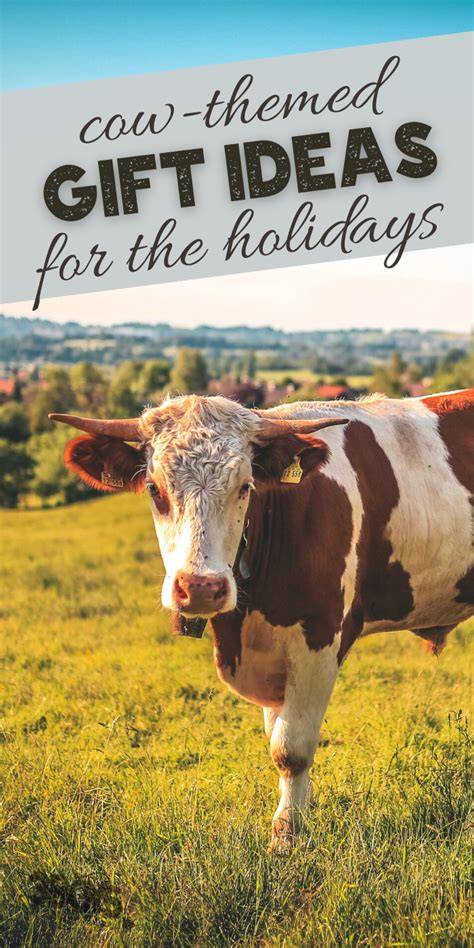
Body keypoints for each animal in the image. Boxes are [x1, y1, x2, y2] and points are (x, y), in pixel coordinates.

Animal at [50, 388, 473, 851]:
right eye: (153, 488)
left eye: (246, 486)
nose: (201, 587)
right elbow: (276, 737)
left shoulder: (320, 638)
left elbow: (291, 749)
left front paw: (287, 834)